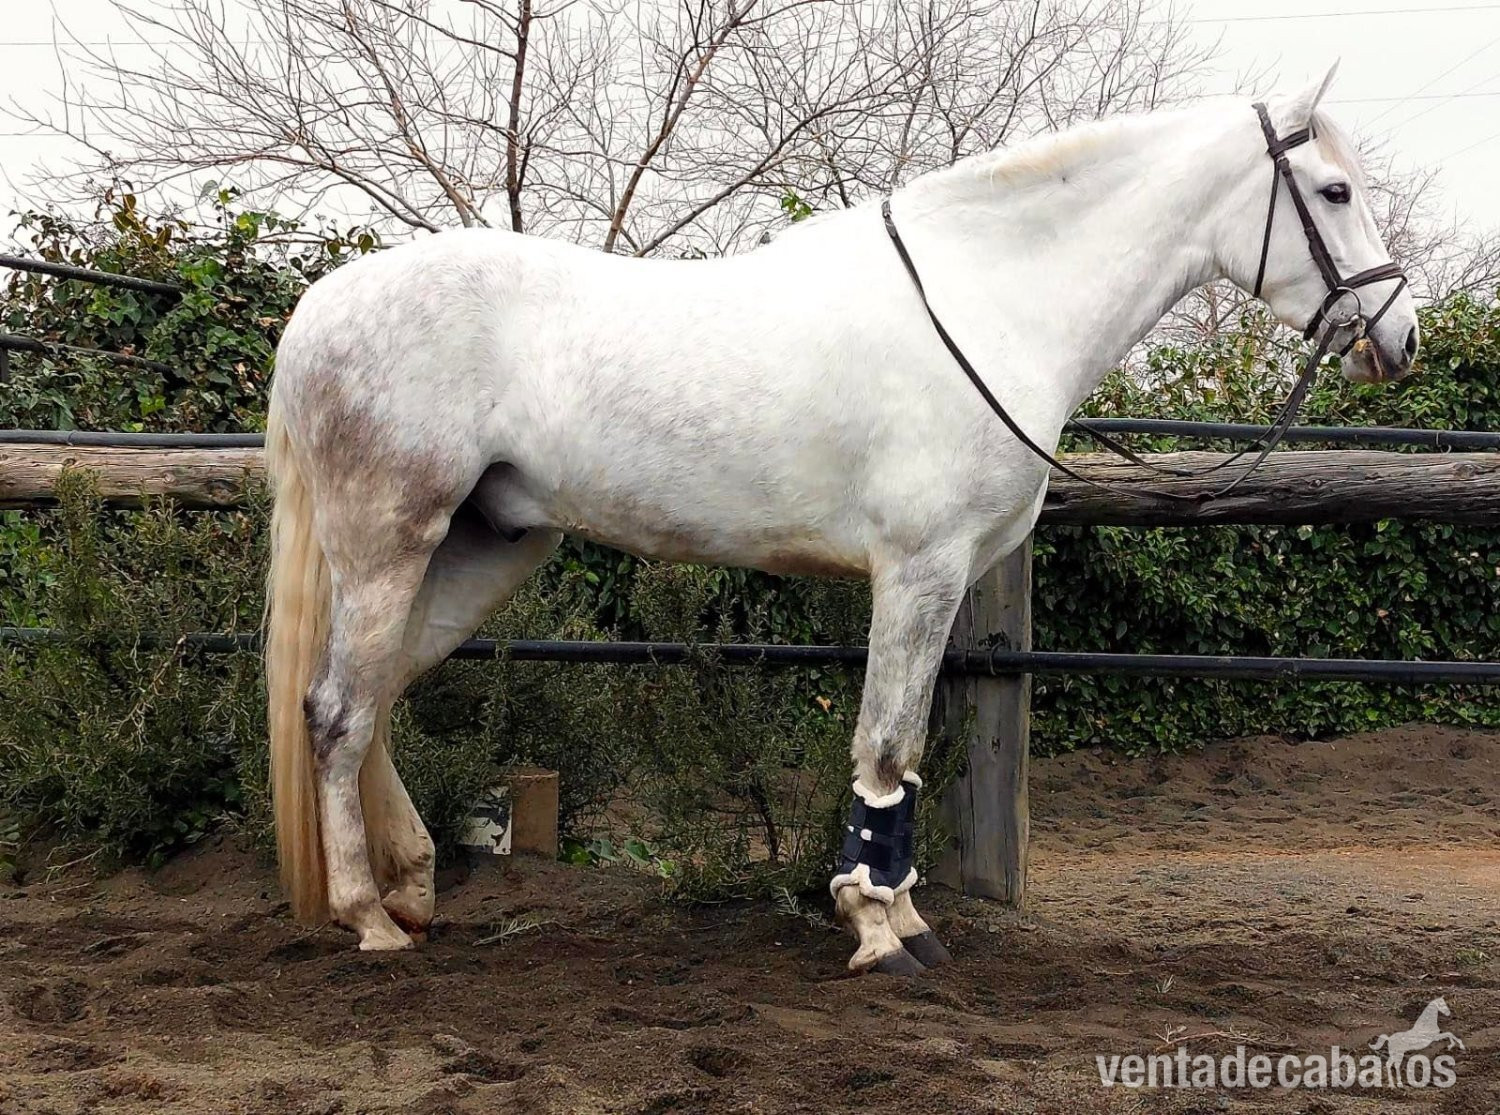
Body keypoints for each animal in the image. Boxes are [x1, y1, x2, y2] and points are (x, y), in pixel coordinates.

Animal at [263, 65, 1419, 974]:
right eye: (1334, 189)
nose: (1398, 336)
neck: (989, 299)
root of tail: (323, 306)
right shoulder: (919, 568)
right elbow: (886, 743)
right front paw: (873, 928)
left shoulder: (945, 575)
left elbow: (898, 756)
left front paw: (904, 916)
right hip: (389, 543)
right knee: (337, 709)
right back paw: (369, 916)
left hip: (482, 547)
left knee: (376, 697)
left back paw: (412, 885)